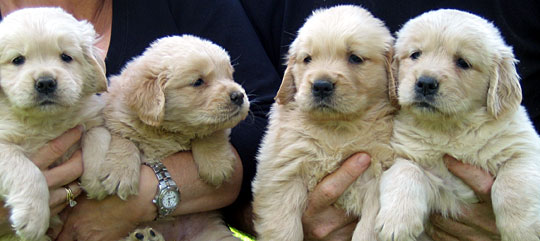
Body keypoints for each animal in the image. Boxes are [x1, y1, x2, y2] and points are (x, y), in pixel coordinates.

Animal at [0, 6, 108, 240]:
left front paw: (97, 180)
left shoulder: (92, 118)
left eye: (66, 57)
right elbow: (26, 168)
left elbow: (98, 137)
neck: (46, 121)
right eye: (17, 60)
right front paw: (33, 217)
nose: (45, 82)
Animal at [251, 5, 394, 241]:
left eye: (355, 58)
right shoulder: (283, 176)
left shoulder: (377, 176)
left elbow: (369, 228)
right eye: (307, 59)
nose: (321, 86)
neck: (336, 129)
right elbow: (284, 228)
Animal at [376, 8, 540, 240]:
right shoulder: (403, 155)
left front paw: (521, 231)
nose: (425, 83)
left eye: (463, 62)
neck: (451, 130)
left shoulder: (525, 149)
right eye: (415, 54)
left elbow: (512, 183)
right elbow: (406, 172)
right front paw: (396, 223)